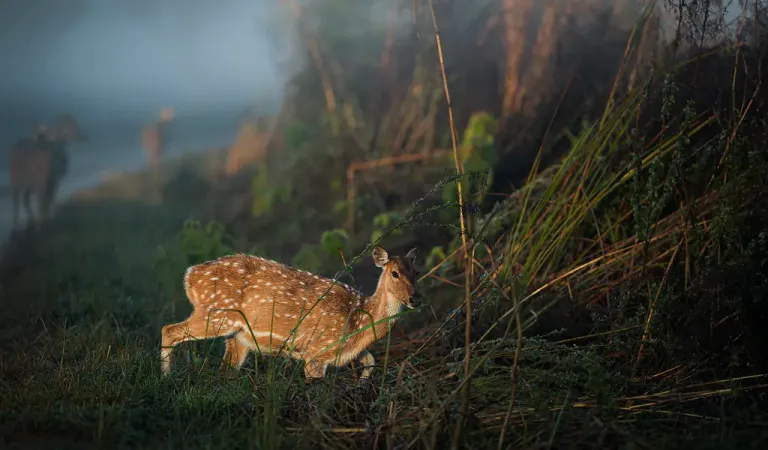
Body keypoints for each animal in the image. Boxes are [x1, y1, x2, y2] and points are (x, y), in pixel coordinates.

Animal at [160, 245, 421, 382]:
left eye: (416, 271)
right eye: (395, 273)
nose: (414, 299)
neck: (358, 319)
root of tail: (189, 276)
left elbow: (371, 360)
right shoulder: (316, 351)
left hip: (239, 335)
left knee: (226, 369)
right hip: (217, 314)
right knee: (168, 329)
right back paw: (166, 378)